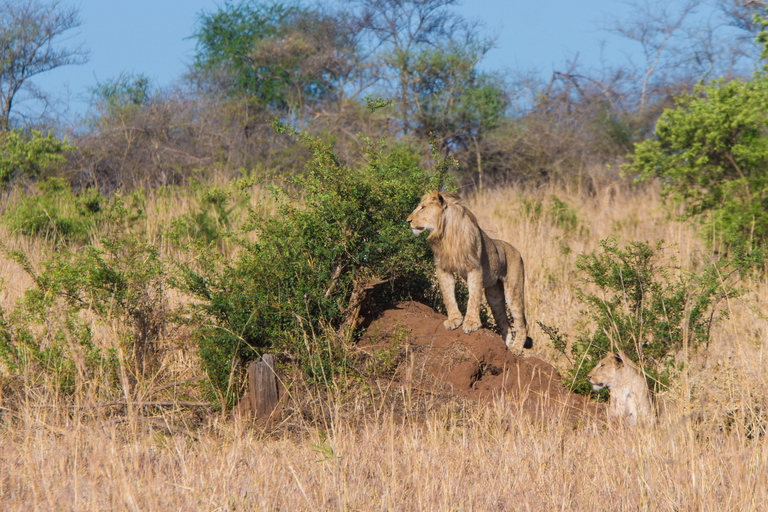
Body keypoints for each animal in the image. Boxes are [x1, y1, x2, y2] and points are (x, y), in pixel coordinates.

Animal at [404, 190, 532, 354]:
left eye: (423, 207)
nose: (408, 221)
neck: (446, 233)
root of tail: (517, 251)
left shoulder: (474, 267)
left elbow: (474, 296)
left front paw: (471, 323)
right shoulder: (443, 268)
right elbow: (448, 295)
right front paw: (454, 320)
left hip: (513, 291)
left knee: (522, 323)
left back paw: (516, 349)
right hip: (494, 297)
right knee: (506, 325)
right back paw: (506, 348)